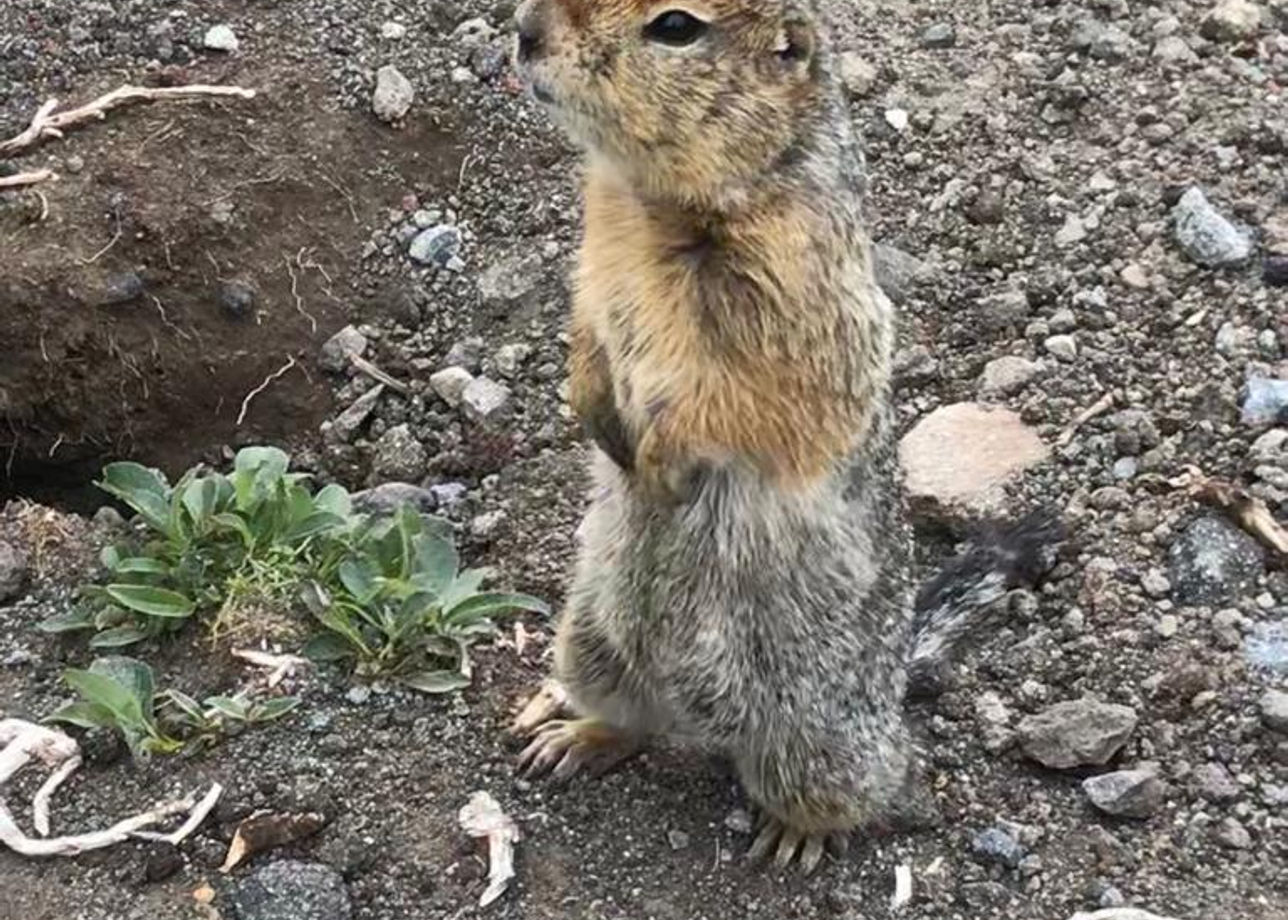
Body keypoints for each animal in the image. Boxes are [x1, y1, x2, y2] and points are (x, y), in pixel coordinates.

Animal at [510, 0, 1056, 865]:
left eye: (674, 27)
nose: (527, 31)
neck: (647, 196)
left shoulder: (789, 285)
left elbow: (733, 400)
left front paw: (657, 463)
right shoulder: (595, 255)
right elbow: (588, 335)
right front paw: (592, 410)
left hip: (814, 735)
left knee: (873, 782)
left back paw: (794, 834)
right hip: (588, 637)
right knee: (634, 722)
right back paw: (573, 736)